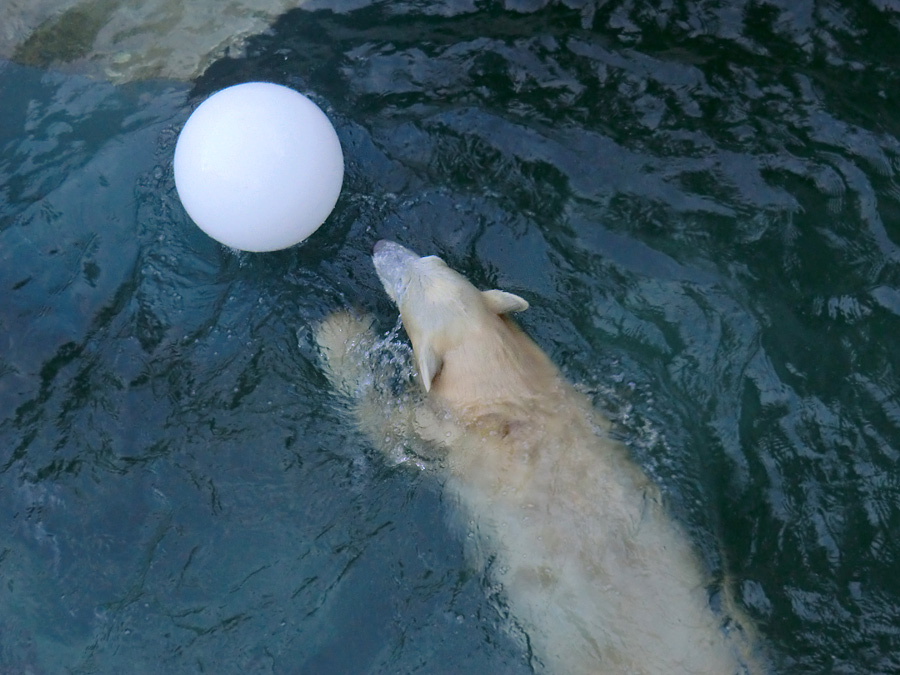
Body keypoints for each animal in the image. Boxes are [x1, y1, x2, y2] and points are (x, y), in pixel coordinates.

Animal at [312, 242, 764, 675]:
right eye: (429, 257)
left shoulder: (447, 436)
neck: (502, 385)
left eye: (403, 285)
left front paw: (338, 330)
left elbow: (386, 427)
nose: (379, 245)